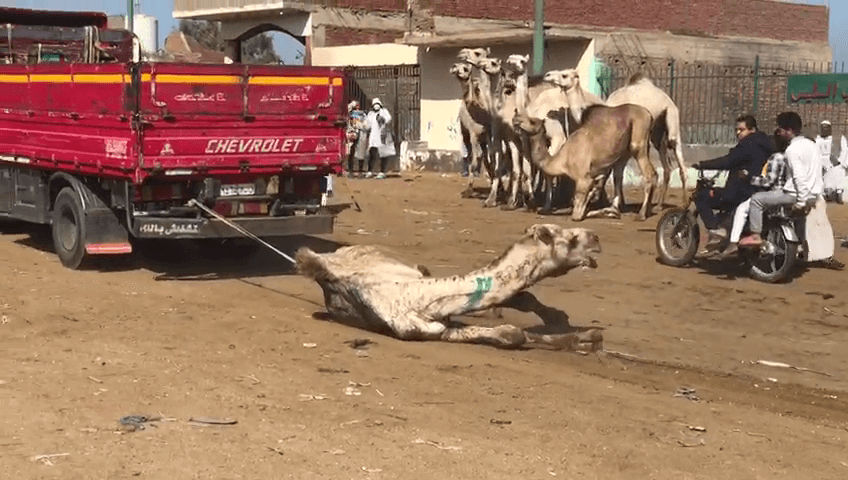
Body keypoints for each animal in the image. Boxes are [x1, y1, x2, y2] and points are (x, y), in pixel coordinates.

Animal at [296, 223, 604, 350]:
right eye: (570, 239)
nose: (596, 238)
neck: (419, 297)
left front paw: (585, 335)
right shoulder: (426, 330)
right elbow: (512, 334)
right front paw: (581, 339)